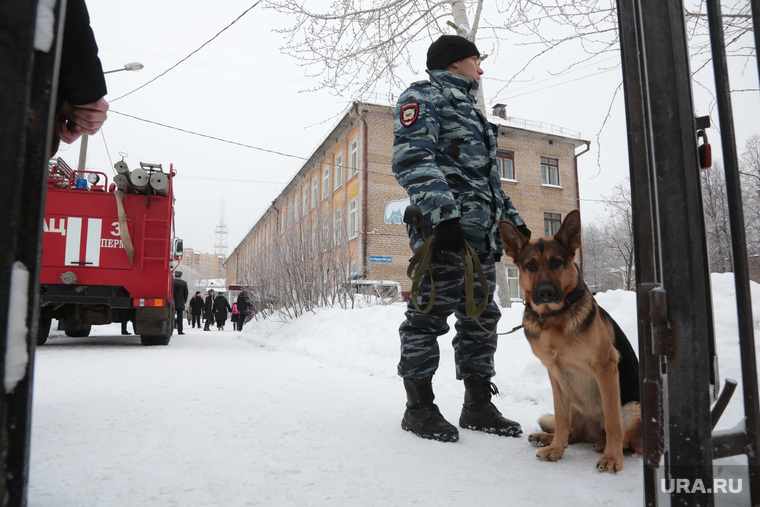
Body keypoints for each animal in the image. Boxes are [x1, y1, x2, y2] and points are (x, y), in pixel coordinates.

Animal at [498, 209, 640, 472]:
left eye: (556, 262)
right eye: (530, 266)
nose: (544, 293)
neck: (554, 319)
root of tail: (593, 433)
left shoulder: (606, 368)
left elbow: (613, 421)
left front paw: (612, 457)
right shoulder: (555, 375)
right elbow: (561, 419)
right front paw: (556, 449)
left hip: (633, 407)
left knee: (630, 440)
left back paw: (604, 446)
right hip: (572, 397)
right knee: (572, 433)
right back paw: (549, 438)